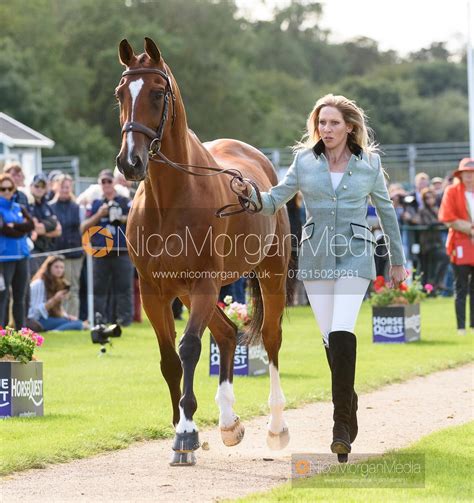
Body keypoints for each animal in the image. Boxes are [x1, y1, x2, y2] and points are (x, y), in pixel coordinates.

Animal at [115, 37, 292, 466]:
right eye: (119, 94)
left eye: (157, 93)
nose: (130, 162)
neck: (171, 199)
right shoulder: (154, 292)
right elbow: (169, 360)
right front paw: (182, 430)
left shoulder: (204, 284)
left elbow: (190, 348)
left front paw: (186, 432)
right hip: (189, 291)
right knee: (227, 334)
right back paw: (228, 424)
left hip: (269, 275)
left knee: (271, 338)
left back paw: (276, 427)